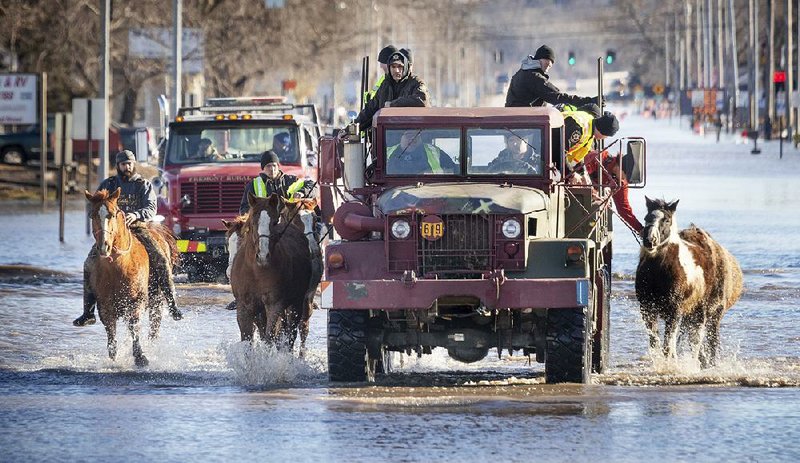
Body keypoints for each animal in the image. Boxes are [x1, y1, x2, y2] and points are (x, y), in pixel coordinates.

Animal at [228, 194, 312, 350]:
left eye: (274, 222)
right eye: (253, 221)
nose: (263, 254)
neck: (256, 271)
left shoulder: (275, 304)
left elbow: (270, 337)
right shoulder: (244, 306)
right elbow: (247, 338)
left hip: (296, 303)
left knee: (291, 333)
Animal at [636, 198, 744, 368]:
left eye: (666, 220)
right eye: (647, 218)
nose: (650, 241)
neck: (658, 271)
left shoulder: (674, 311)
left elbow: (669, 344)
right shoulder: (647, 309)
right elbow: (655, 342)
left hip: (710, 313)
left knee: (707, 341)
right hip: (692, 313)